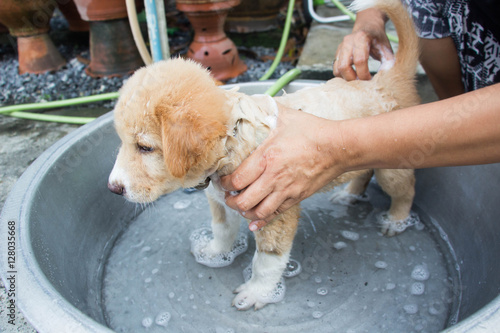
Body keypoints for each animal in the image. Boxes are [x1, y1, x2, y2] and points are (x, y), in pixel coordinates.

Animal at [108, 0, 418, 312]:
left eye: (145, 147)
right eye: (122, 142)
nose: (113, 188)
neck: (233, 144)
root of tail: (387, 78)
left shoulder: (275, 215)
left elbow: (267, 261)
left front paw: (257, 292)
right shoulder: (221, 203)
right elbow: (222, 231)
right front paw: (214, 253)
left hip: (392, 170)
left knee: (405, 192)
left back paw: (394, 221)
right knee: (363, 173)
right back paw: (349, 195)